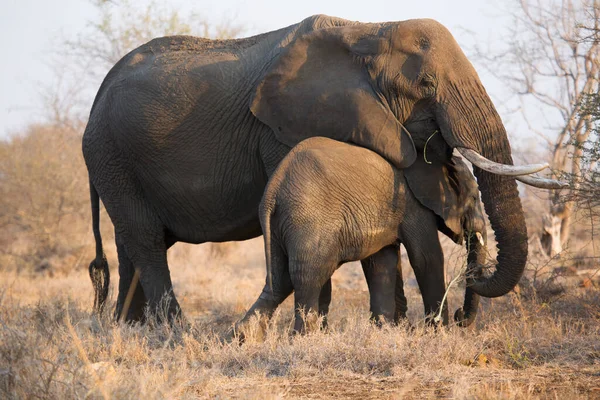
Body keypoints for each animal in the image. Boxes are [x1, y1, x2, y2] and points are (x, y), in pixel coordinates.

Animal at [240, 136, 488, 332]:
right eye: (474, 197)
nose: (459, 315)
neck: (434, 160)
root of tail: (272, 191)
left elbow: (381, 263)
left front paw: (384, 331)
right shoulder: (414, 206)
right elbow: (427, 258)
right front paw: (439, 332)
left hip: (279, 225)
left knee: (280, 280)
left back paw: (244, 337)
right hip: (308, 220)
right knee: (309, 276)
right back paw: (302, 337)